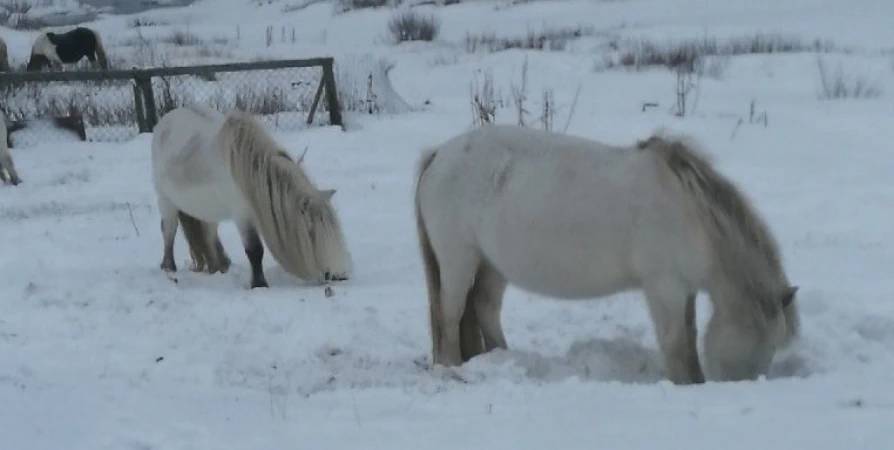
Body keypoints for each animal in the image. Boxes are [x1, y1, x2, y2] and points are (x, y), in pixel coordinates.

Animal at [150, 106, 354, 288]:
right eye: (312, 232)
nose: (340, 274)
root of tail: (166, 120)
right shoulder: (242, 215)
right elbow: (254, 250)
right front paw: (259, 284)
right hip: (166, 201)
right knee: (168, 230)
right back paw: (169, 267)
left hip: (206, 208)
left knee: (209, 234)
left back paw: (219, 267)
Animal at [416, 125, 800, 384]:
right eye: (767, 344)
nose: (747, 383)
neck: (688, 212)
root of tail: (438, 155)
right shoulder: (664, 289)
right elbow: (676, 344)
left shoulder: (684, 290)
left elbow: (688, 339)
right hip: (458, 260)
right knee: (450, 315)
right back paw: (452, 367)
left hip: (492, 265)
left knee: (484, 308)